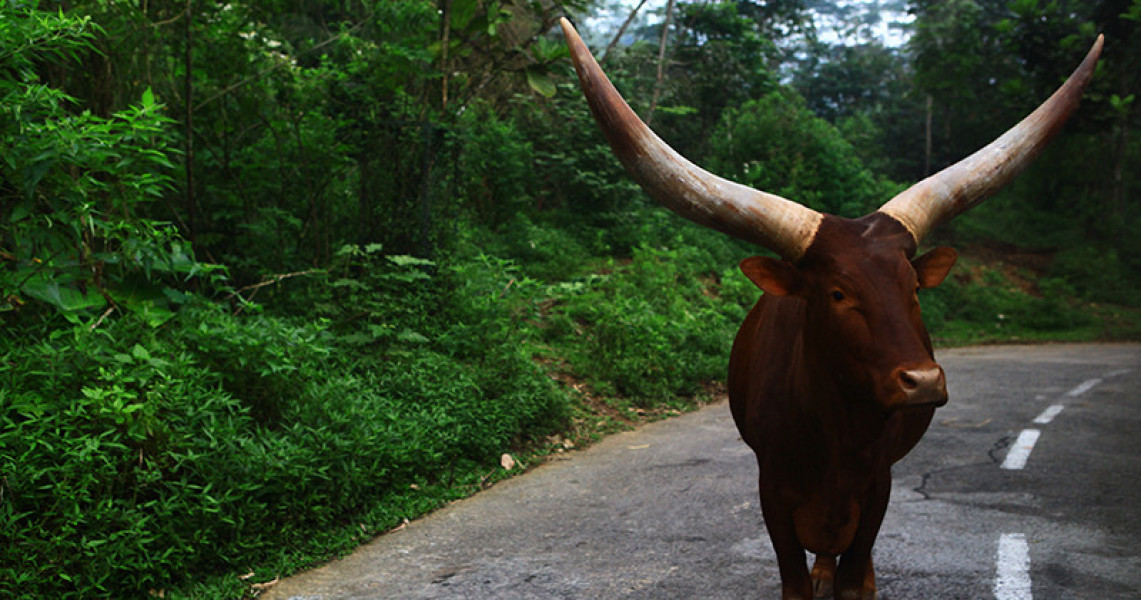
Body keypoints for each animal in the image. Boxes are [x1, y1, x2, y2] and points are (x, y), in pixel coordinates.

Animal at [556, 17, 1099, 600]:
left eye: (913, 287)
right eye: (838, 293)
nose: (923, 382)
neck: (836, 431)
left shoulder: (878, 484)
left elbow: (855, 571)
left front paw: (858, 581)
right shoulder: (771, 488)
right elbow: (794, 576)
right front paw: (812, 578)